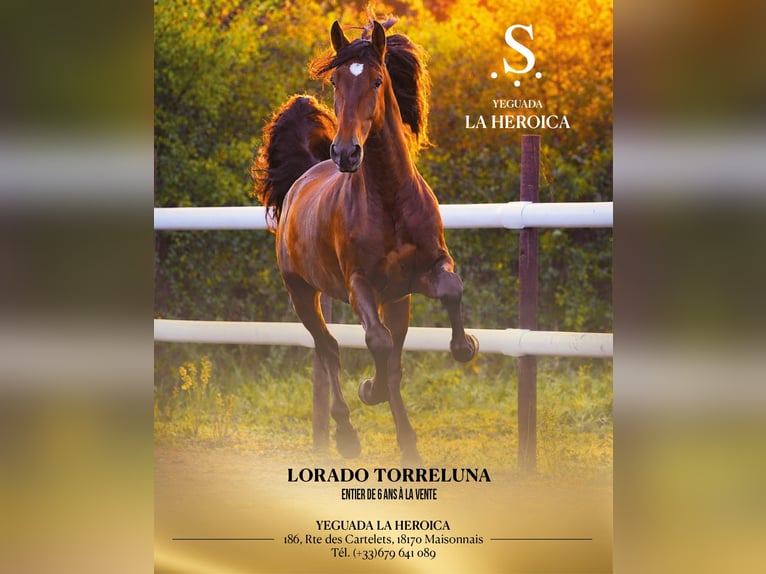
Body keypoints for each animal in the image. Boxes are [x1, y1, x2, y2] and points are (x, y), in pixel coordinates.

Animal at [253, 18, 477, 466]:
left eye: (376, 80)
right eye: (336, 80)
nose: (345, 153)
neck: (389, 201)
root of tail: (303, 176)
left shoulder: (425, 271)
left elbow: (450, 290)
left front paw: (465, 346)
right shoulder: (361, 285)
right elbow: (377, 341)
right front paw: (369, 392)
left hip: (397, 299)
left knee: (390, 355)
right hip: (302, 292)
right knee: (329, 349)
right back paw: (345, 435)